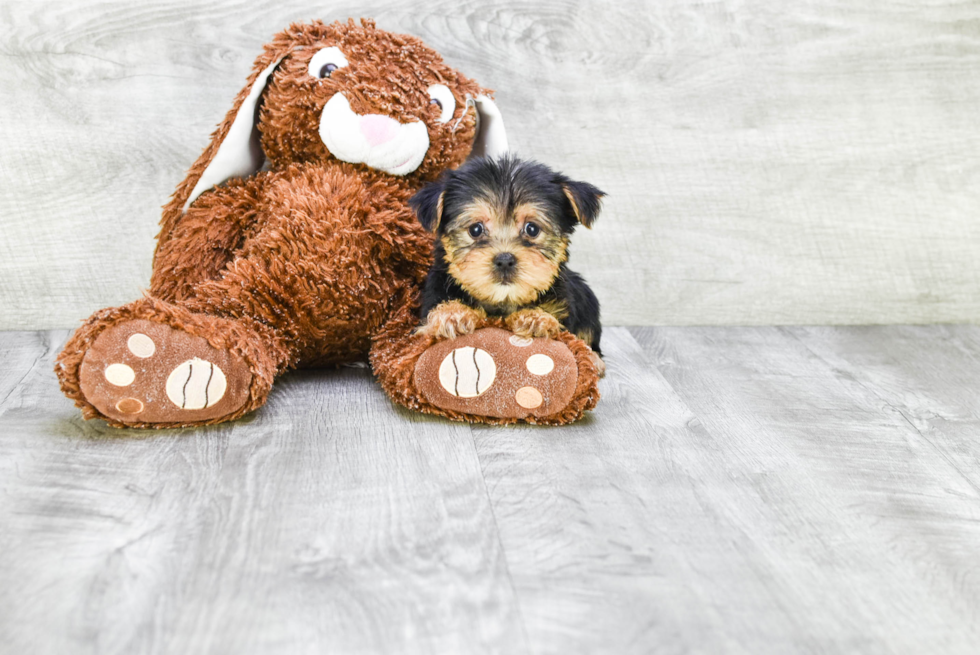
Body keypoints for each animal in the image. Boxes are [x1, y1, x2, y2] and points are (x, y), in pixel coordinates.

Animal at [406, 155, 604, 374]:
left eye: (532, 229)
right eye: (475, 229)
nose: (505, 260)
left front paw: (536, 318)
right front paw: (451, 314)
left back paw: (594, 359)